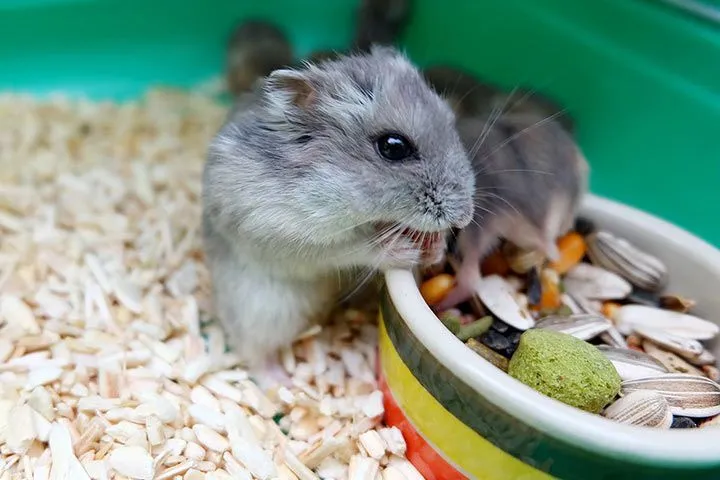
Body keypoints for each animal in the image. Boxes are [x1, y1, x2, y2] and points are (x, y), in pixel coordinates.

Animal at [202, 45, 475, 368]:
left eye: (451, 121)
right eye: (393, 147)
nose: (465, 218)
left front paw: (435, 246)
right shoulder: (285, 232)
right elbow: (353, 248)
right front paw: (404, 251)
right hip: (263, 314)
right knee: (252, 355)